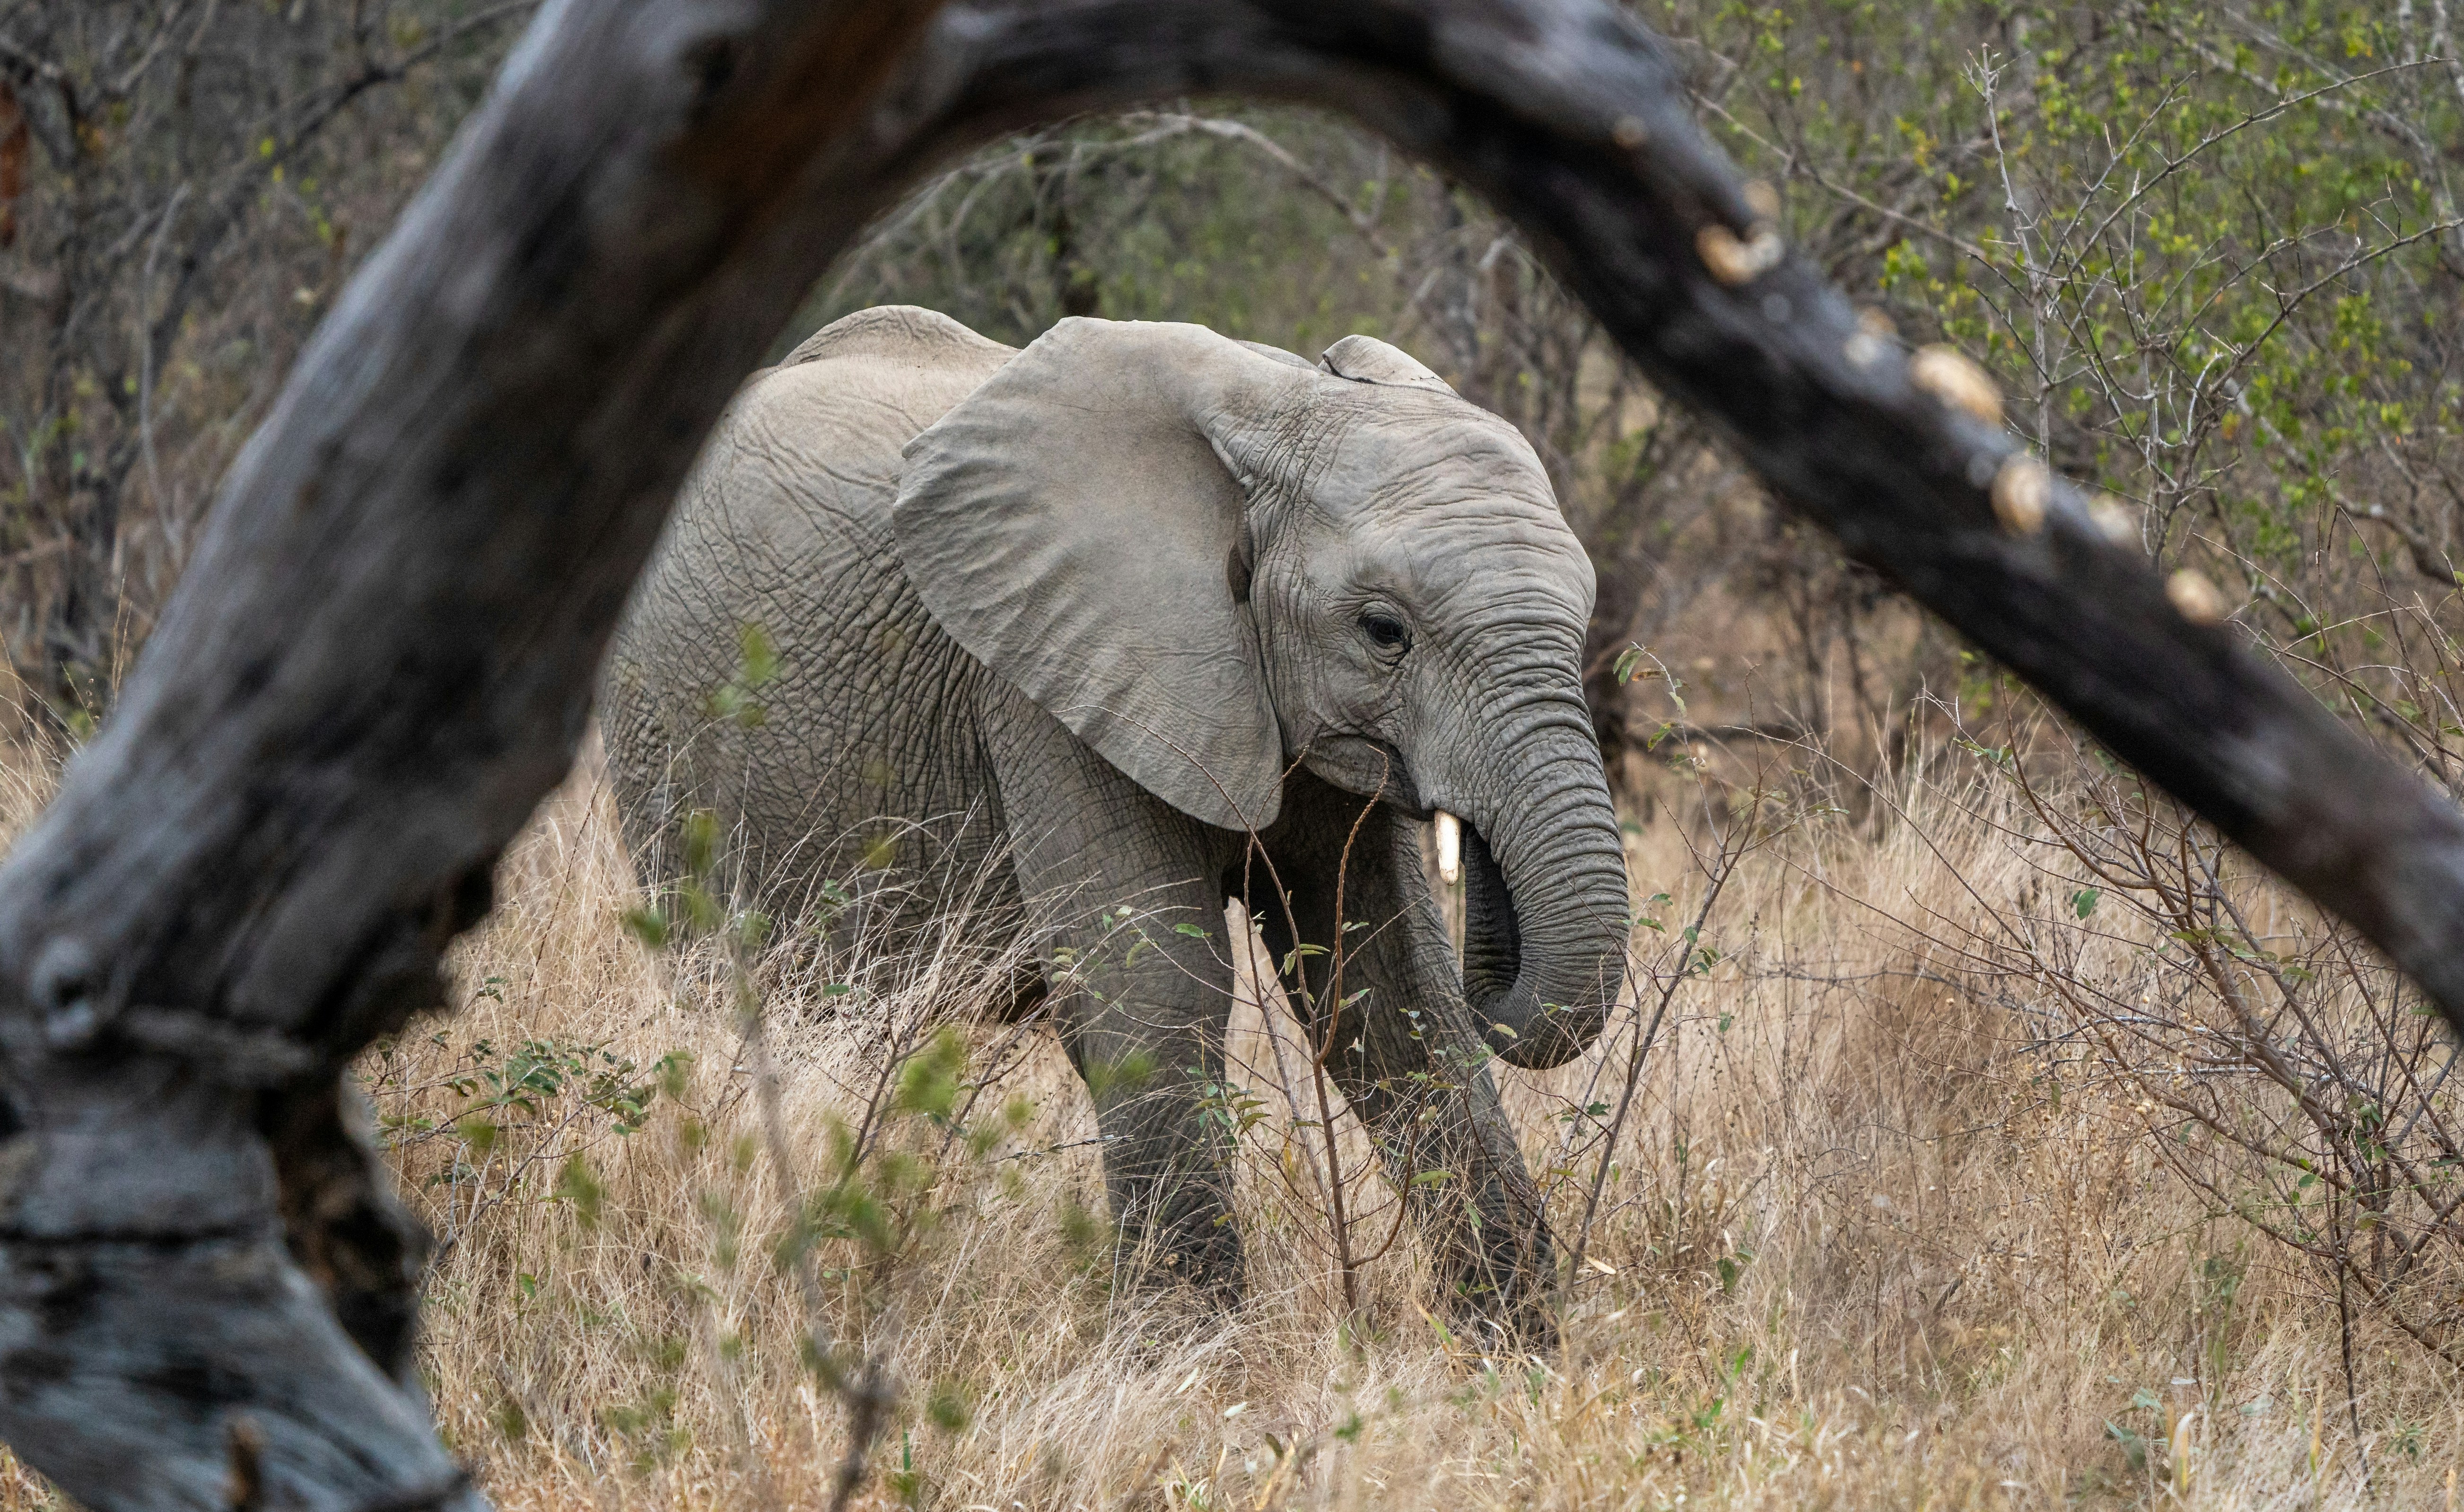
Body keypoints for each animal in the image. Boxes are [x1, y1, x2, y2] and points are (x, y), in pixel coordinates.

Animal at [600, 305, 1632, 1339]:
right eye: (1385, 631)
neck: (1277, 410)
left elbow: (1386, 986)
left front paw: (1512, 1343)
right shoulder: (1046, 678)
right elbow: (1158, 981)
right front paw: (1193, 1356)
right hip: (667, 742)